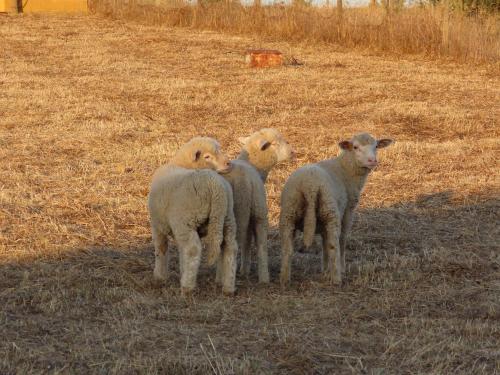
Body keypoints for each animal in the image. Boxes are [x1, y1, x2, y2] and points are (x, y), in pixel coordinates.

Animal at [147, 137, 237, 296]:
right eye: (207, 156)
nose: (228, 163)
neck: (181, 164)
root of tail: (215, 187)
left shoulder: (158, 225)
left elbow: (161, 248)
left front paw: (160, 276)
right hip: (227, 219)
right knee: (230, 248)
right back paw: (228, 288)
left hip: (185, 221)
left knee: (192, 249)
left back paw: (187, 287)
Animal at [224, 129, 296, 282]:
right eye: (275, 143)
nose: (293, 152)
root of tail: (242, 182)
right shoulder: (258, 213)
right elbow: (261, 245)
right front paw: (262, 276)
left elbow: (247, 242)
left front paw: (244, 270)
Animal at [280, 134, 392, 286]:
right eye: (355, 147)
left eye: (376, 146)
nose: (372, 161)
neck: (345, 169)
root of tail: (310, 186)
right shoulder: (348, 210)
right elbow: (341, 238)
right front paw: (340, 267)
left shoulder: (323, 221)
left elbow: (324, 241)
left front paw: (325, 268)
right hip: (330, 211)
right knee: (334, 244)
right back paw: (337, 278)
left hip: (290, 211)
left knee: (287, 248)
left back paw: (284, 279)